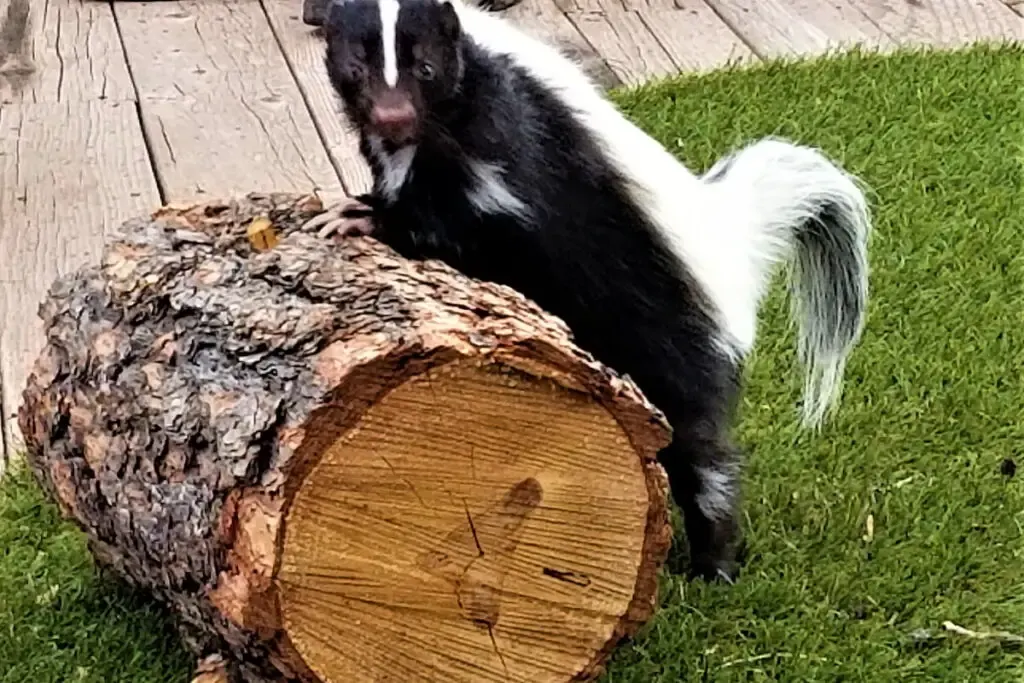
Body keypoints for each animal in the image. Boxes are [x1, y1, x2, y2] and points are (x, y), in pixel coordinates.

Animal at [307, 0, 868, 581]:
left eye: (426, 68)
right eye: (356, 68)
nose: (392, 116)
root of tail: (736, 241)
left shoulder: (508, 148)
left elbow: (468, 227)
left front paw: (368, 218)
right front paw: (363, 204)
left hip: (676, 344)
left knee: (702, 456)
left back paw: (713, 565)